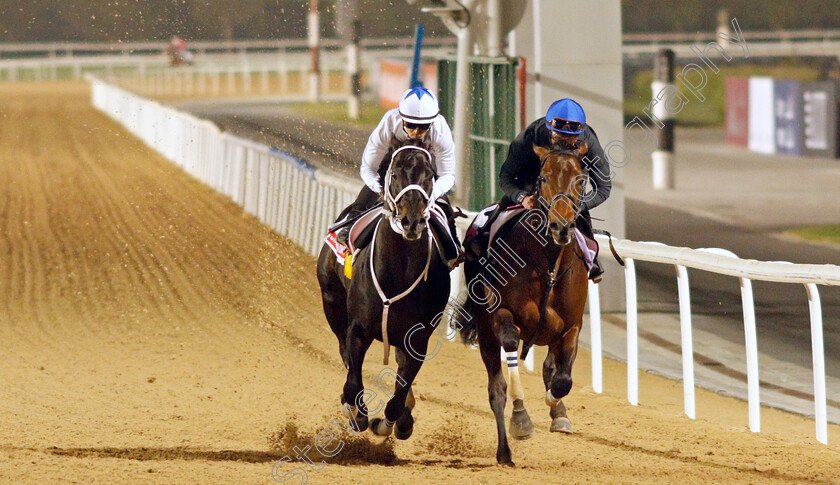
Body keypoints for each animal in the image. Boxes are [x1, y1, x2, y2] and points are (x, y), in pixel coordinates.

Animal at [316, 140, 450, 438]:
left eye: (430, 175)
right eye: (395, 173)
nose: (412, 220)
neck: (398, 272)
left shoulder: (417, 339)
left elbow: (398, 397)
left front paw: (392, 423)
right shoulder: (358, 329)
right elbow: (353, 383)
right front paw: (358, 414)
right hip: (331, 300)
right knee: (343, 350)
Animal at [456, 142, 588, 464]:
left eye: (580, 180)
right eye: (543, 178)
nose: (561, 226)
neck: (548, 265)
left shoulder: (571, 327)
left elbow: (562, 380)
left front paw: (557, 409)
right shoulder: (502, 314)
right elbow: (510, 349)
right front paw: (522, 419)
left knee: (549, 367)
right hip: (485, 329)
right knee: (496, 388)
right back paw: (505, 451)